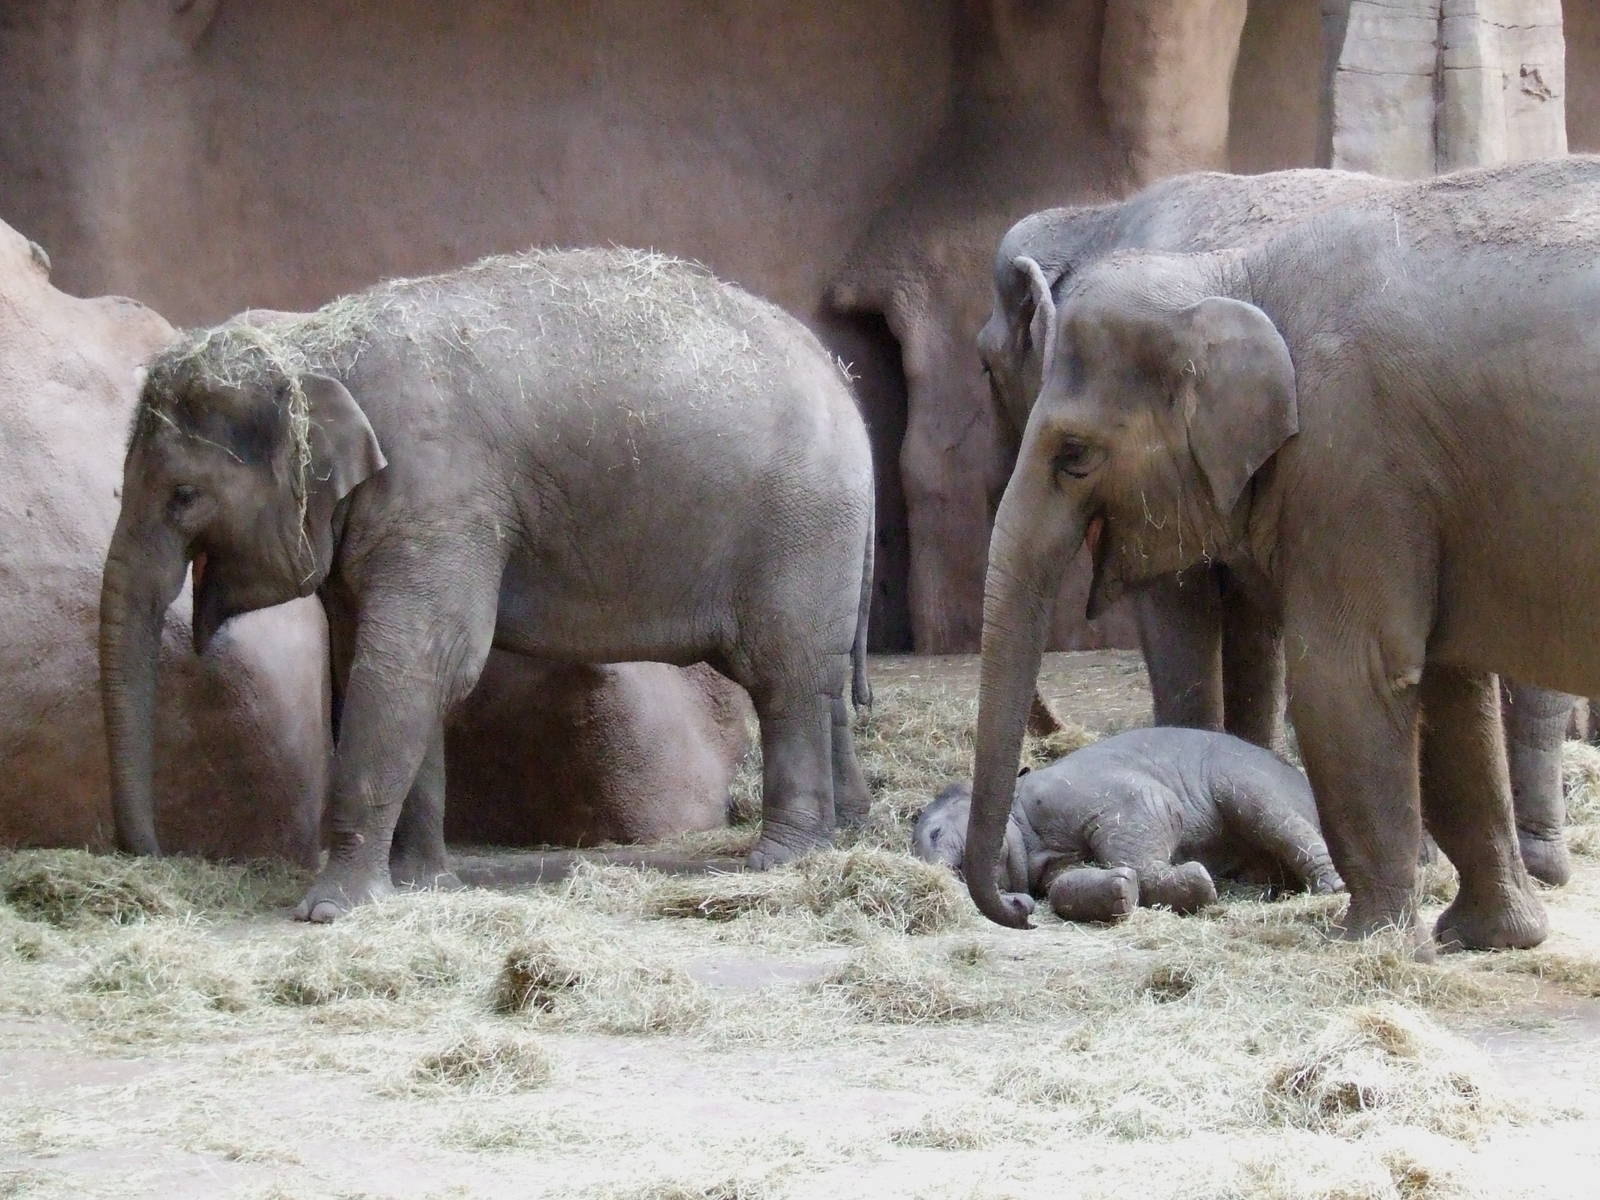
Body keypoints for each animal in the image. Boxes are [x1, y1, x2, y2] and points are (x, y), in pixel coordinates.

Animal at [101, 247, 875, 921]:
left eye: (184, 496)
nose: (155, 857)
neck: (315, 340)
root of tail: (844, 384)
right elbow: (376, 665)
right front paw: (420, 884)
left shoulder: (441, 493)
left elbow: (418, 661)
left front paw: (330, 910)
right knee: (824, 677)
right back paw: (847, 836)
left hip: (800, 525)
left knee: (785, 677)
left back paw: (780, 861)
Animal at [912, 727, 1341, 924]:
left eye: (935, 833)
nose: (1022, 905)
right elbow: (1065, 881)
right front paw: (1120, 890)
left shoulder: (1077, 790)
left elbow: (1155, 807)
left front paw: (1199, 882)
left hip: (1243, 776)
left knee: (1271, 816)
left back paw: (1332, 889)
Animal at [968, 155, 1600, 952]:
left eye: (1073, 454)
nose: (1022, 905)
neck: (1230, 271)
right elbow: (1447, 687)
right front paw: (1483, 937)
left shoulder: (1351, 460)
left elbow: (1342, 674)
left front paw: (1366, 943)